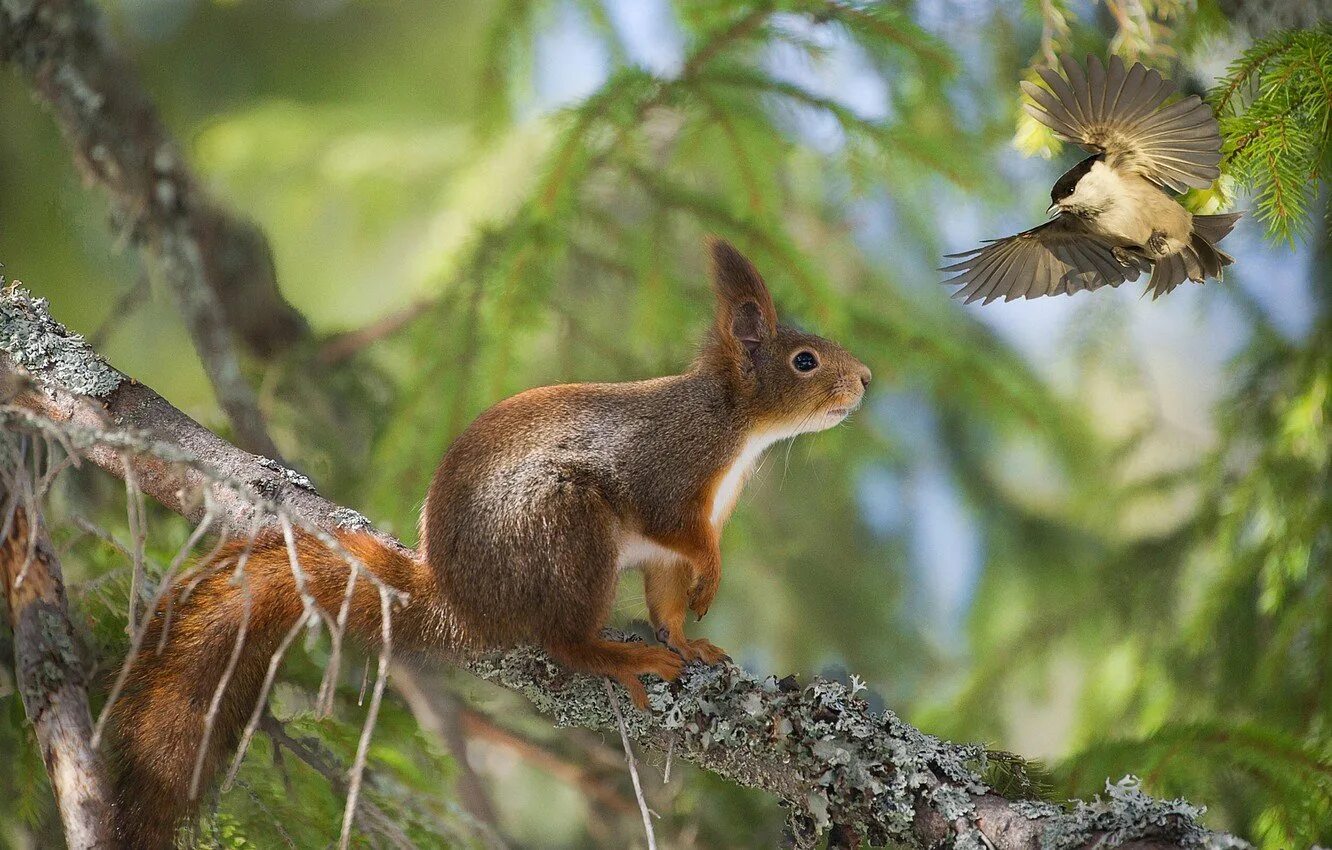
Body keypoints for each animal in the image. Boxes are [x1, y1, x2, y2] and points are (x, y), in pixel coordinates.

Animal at [106, 238, 873, 847]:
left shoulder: (667, 551)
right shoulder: (666, 475)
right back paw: (612, 653)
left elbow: (667, 601)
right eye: (805, 361)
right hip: (563, 525)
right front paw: (711, 576)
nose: (865, 380)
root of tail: (460, 599)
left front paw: (693, 641)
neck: (736, 427)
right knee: (563, 639)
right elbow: (678, 534)